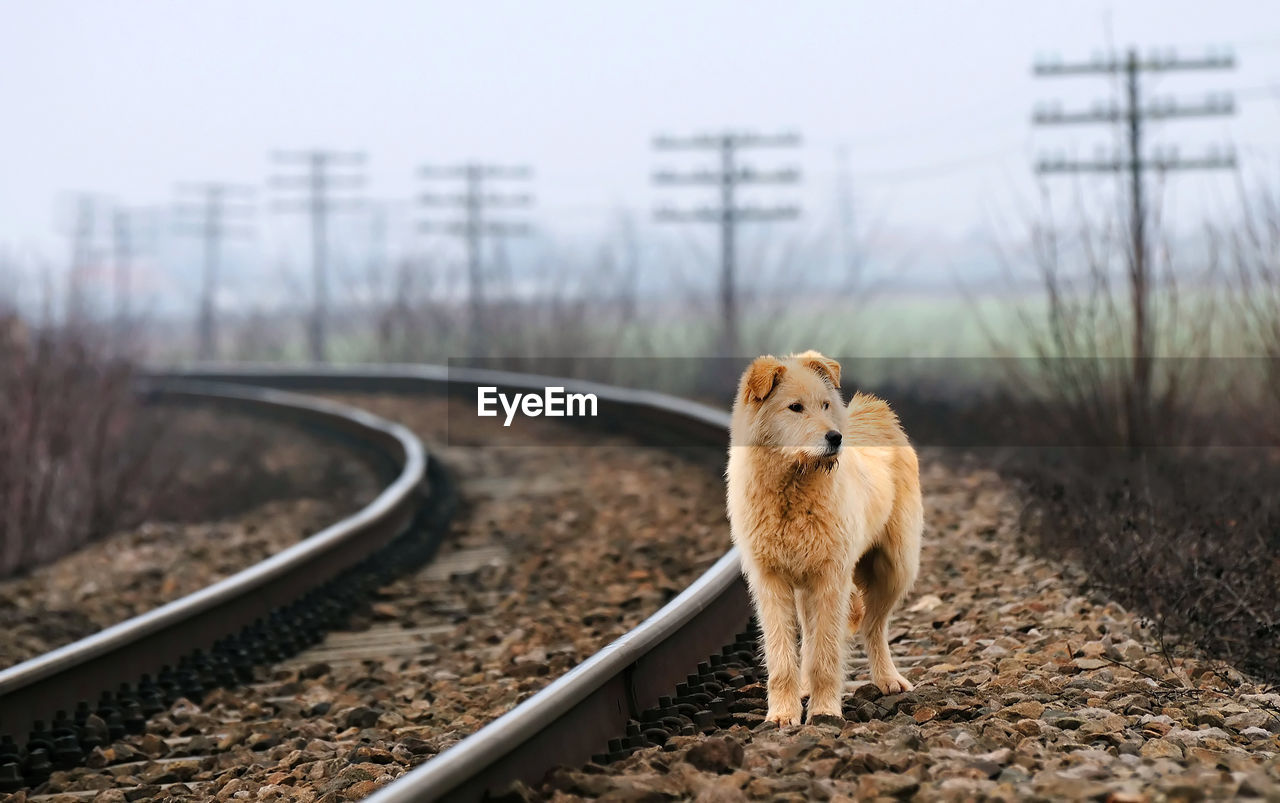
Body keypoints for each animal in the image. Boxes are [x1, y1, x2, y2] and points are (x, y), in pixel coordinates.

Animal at [732, 348, 921, 727]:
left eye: (824, 405)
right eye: (795, 407)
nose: (835, 438)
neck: (792, 487)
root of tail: (873, 408)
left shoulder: (831, 578)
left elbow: (825, 655)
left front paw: (824, 712)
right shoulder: (770, 580)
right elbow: (782, 655)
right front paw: (782, 714)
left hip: (895, 567)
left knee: (874, 627)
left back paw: (888, 679)